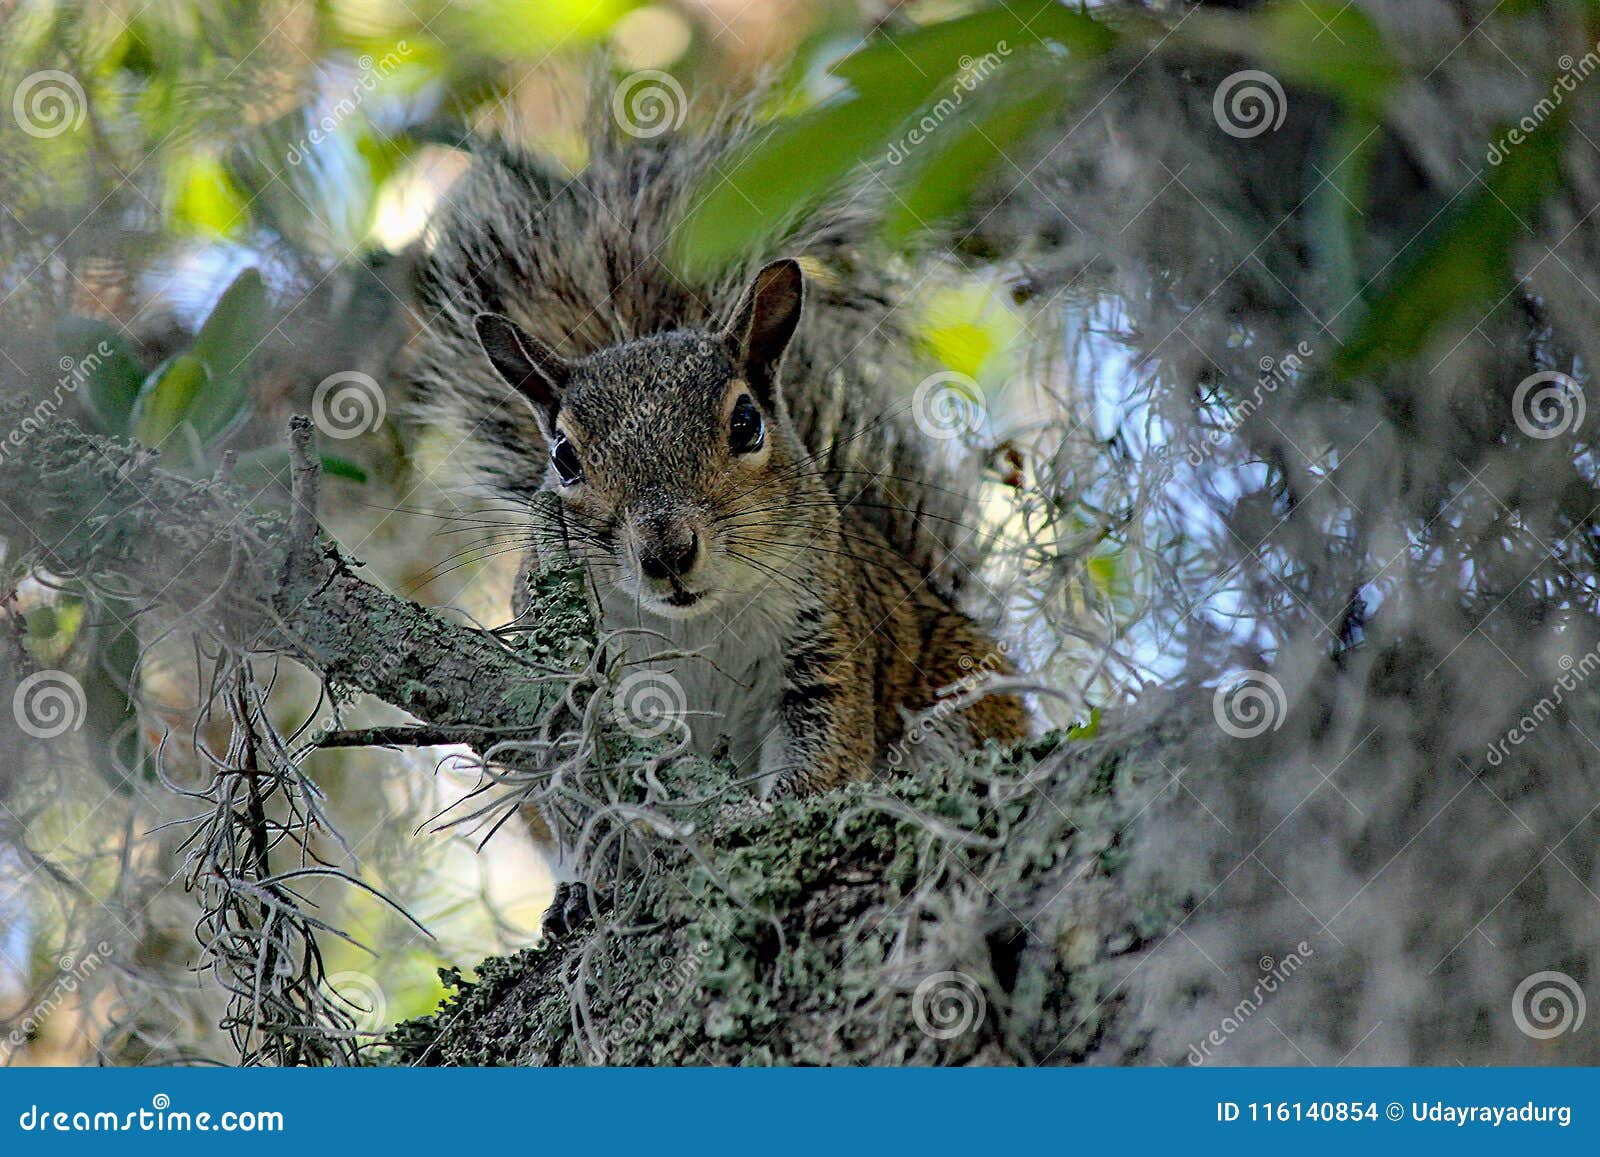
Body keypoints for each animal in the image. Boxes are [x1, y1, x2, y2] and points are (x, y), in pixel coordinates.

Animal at [409, 105, 1027, 931]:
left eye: (746, 423)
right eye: (563, 458)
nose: (667, 551)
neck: (694, 624)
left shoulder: (823, 642)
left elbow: (822, 746)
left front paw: (769, 815)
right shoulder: (563, 690)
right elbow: (582, 800)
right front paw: (592, 883)